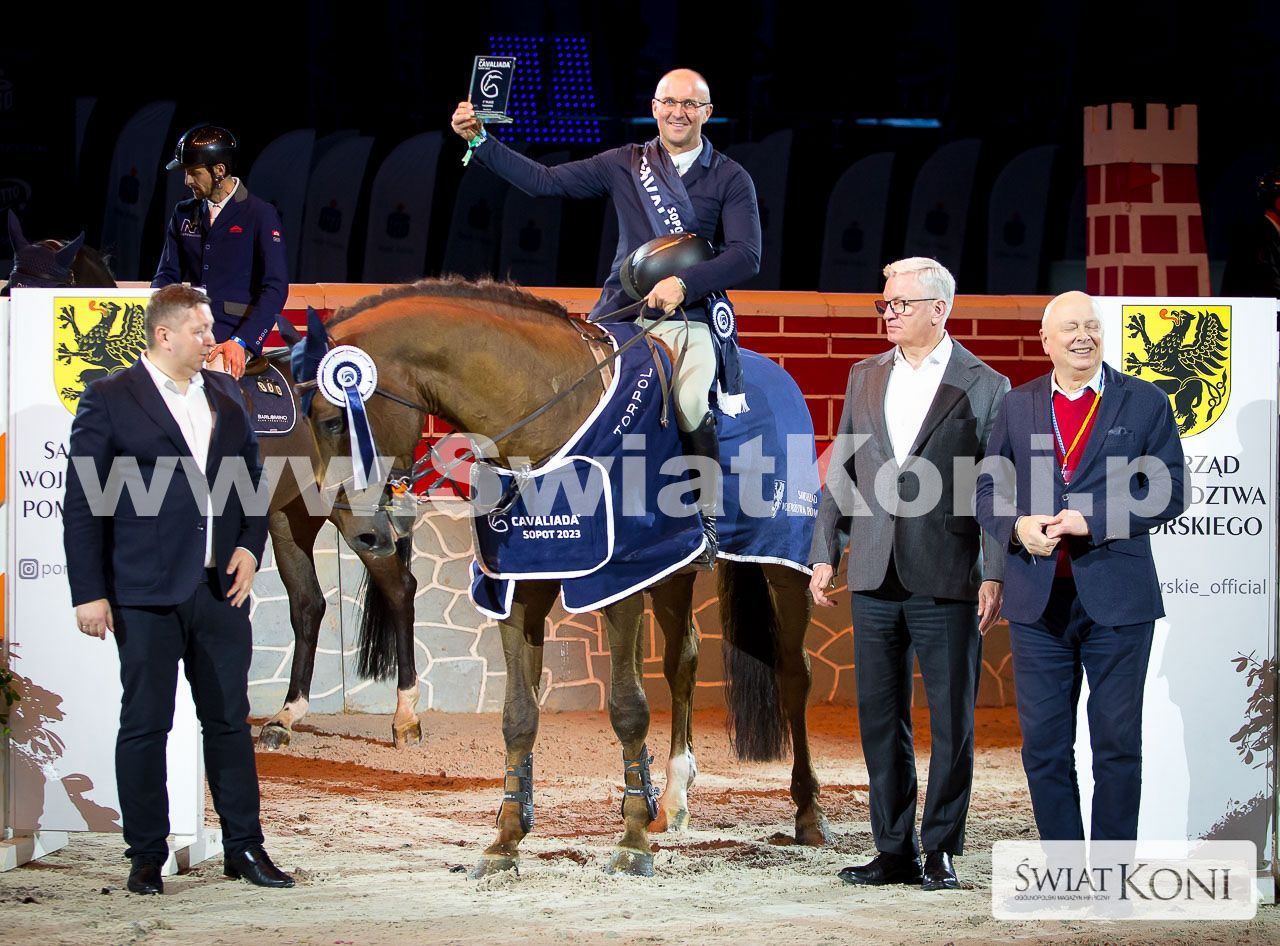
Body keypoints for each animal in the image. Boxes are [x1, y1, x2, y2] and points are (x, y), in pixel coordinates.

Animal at [4, 210, 421, 749]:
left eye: (43, 291)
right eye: (9, 288)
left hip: (359, 521)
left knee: (399, 589)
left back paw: (405, 716)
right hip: (291, 517)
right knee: (308, 605)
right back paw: (285, 717)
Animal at [299, 278, 829, 878]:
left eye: (333, 420)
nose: (360, 532)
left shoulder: (618, 580)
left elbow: (627, 708)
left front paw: (631, 841)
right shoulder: (516, 588)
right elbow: (518, 715)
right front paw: (506, 840)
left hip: (783, 564)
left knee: (794, 672)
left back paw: (807, 814)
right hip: (672, 571)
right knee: (684, 662)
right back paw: (673, 800)